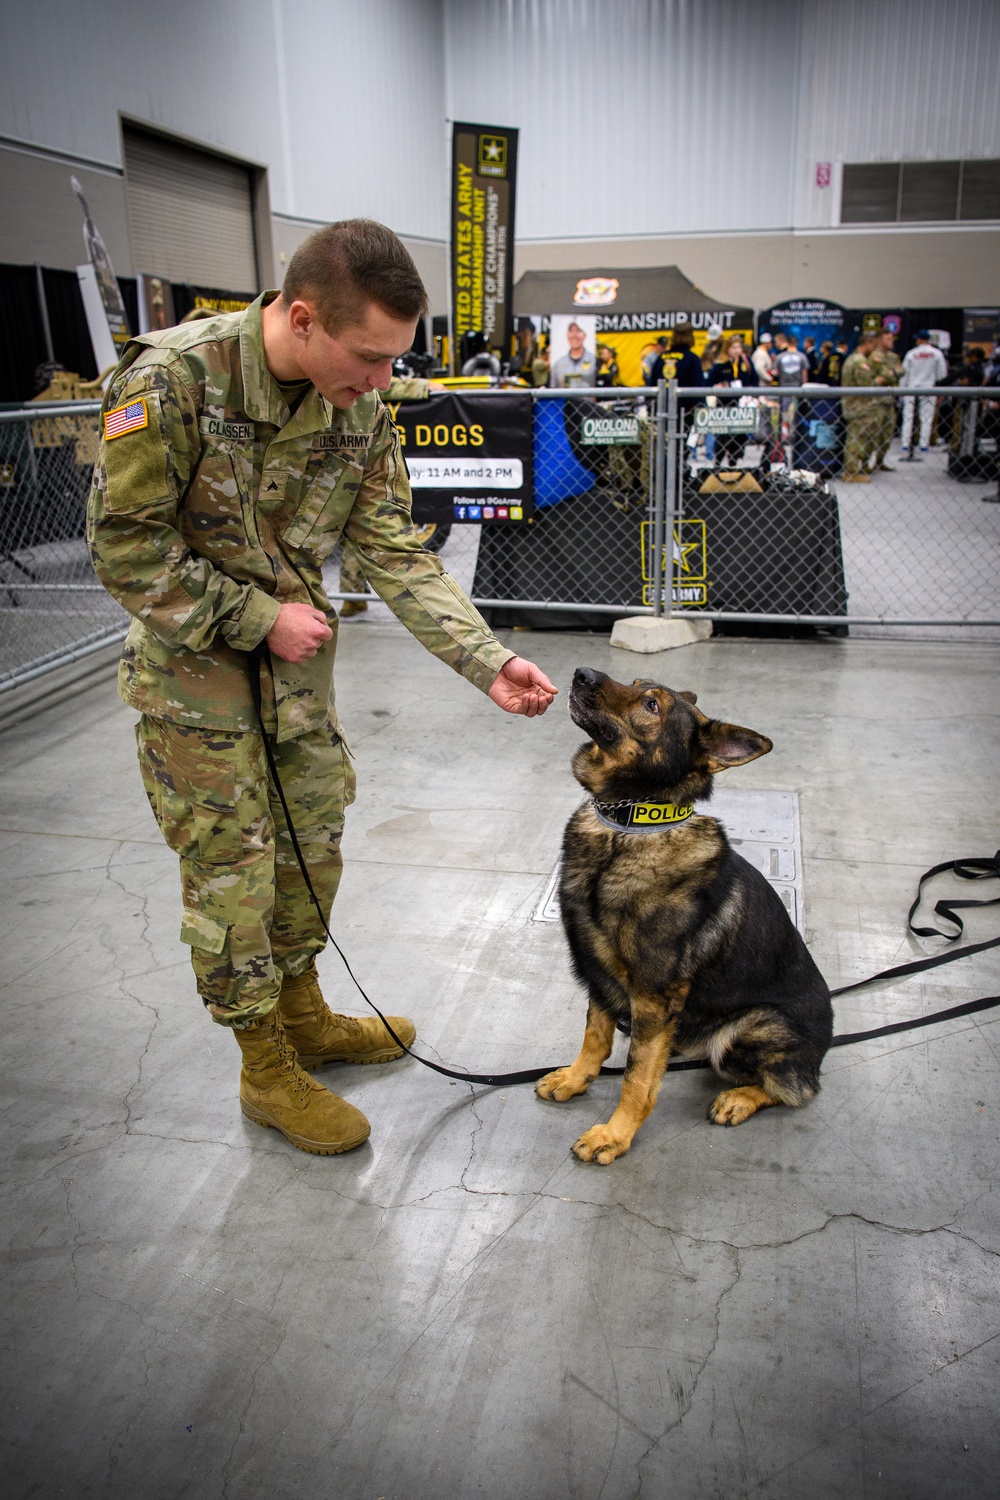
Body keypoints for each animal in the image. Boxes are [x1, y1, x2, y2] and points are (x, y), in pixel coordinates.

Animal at [539, 663, 839, 1164]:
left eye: (651, 706)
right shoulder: (598, 972)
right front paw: (577, 1078)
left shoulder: (654, 995)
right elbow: (595, 1035)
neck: (629, 826)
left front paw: (615, 1135)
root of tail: (823, 1051)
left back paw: (739, 1099)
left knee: (795, 1089)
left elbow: (637, 1076)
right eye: (637, 685)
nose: (582, 672)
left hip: (753, 1027)